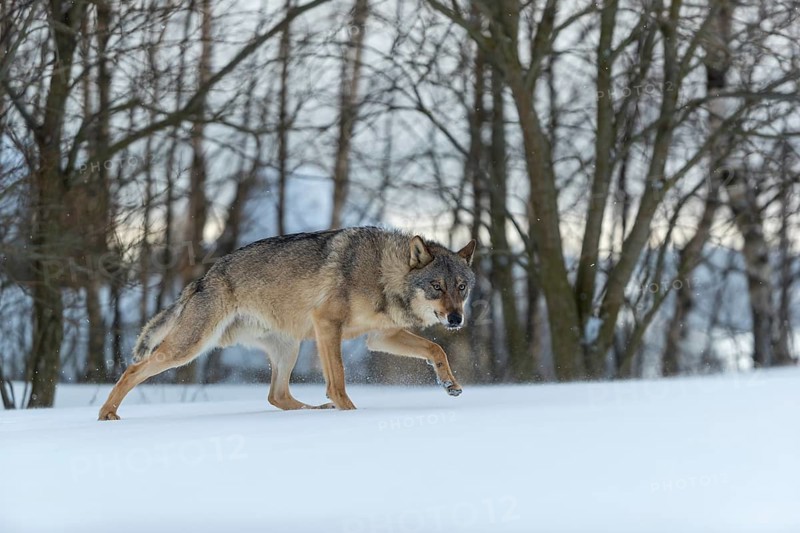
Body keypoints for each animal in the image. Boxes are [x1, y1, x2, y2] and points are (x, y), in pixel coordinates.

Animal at [98, 227, 476, 420]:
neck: (385, 273)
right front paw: (351, 416)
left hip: (289, 348)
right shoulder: (327, 324)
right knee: (133, 370)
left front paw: (450, 384)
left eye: (461, 287)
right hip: (188, 348)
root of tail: (202, 279)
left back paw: (315, 412)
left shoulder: (379, 338)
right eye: (436, 286)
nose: (456, 318)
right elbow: (337, 381)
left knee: (277, 396)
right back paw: (107, 413)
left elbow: (437, 349)